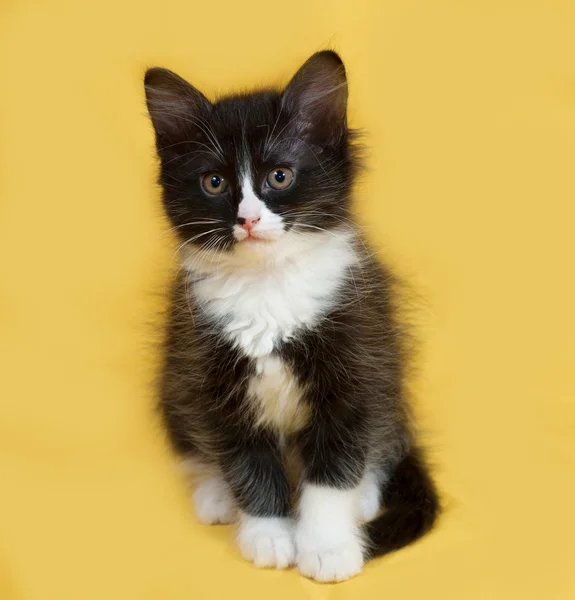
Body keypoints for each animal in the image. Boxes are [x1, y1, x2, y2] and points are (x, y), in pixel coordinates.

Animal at [145, 50, 440, 580]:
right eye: (214, 182)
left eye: (279, 176)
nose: (248, 219)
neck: (268, 287)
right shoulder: (212, 378)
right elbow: (249, 464)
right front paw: (268, 535)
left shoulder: (357, 367)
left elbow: (333, 470)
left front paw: (326, 547)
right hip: (175, 379)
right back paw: (216, 493)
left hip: (388, 378)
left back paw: (365, 497)